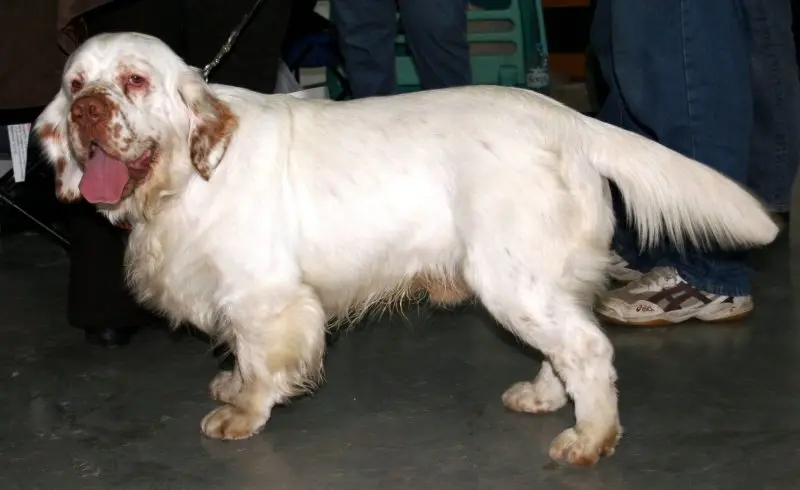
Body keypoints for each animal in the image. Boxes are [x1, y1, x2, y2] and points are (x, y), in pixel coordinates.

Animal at [36, 31, 776, 468]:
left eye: (134, 81)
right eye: (75, 85)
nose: (87, 114)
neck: (187, 175)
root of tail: (568, 119)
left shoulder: (266, 294)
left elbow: (259, 359)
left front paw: (241, 412)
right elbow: (238, 354)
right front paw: (232, 384)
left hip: (509, 279)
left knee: (589, 351)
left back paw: (589, 439)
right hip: (536, 282)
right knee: (565, 348)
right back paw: (542, 398)